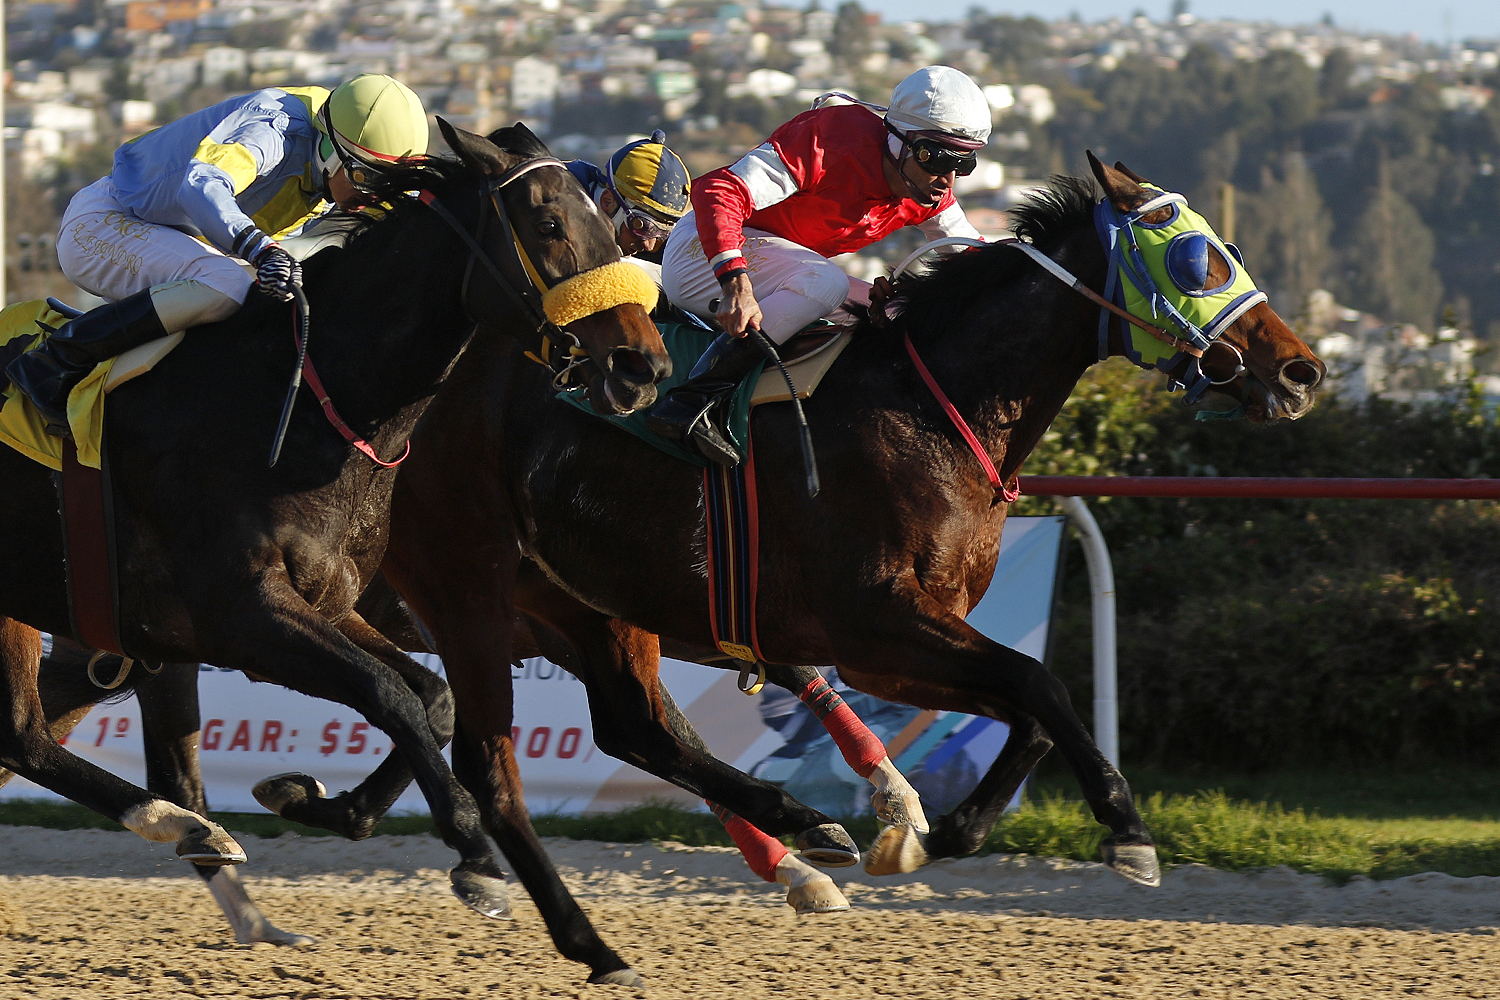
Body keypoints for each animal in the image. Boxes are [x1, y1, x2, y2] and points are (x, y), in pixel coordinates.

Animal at [0, 119, 669, 966]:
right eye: (550, 225)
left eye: (605, 225)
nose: (642, 362)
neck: (301, 404)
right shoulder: (246, 618)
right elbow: (388, 695)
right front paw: (476, 856)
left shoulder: (330, 604)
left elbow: (432, 699)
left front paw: (322, 799)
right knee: (25, 735)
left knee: (28, 736)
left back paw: (207, 850)